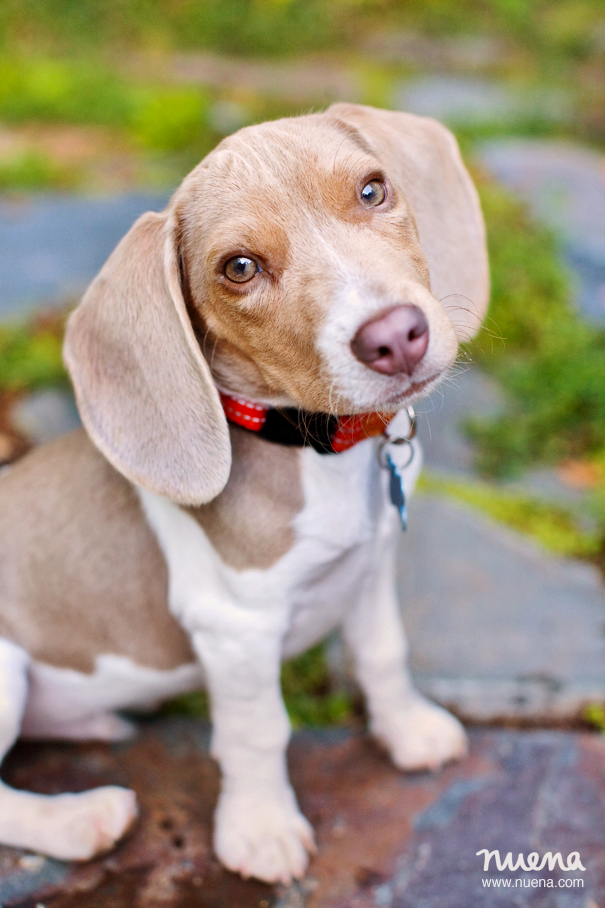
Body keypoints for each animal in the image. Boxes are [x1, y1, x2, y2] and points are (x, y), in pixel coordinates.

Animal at [0, 103, 486, 884]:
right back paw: (79, 819)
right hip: (5, 672)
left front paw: (410, 731)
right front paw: (261, 830)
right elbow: (260, 731)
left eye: (373, 190)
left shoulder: (371, 564)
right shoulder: (236, 629)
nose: (396, 338)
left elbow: (383, 654)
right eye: (239, 268)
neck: (316, 451)